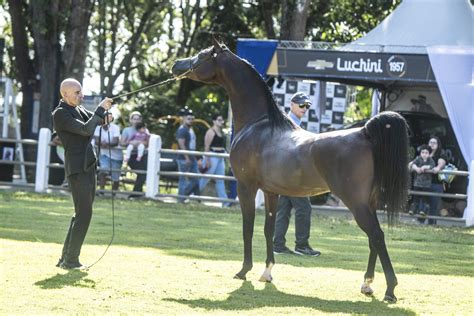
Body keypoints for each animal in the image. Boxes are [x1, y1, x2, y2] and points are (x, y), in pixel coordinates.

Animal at [172, 38, 410, 302]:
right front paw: (267, 273)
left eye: (202, 55)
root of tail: (364, 133)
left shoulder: (246, 188)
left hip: (356, 203)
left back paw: (390, 290)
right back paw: (367, 284)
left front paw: (244, 271)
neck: (259, 125)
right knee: (372, 239)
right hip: (369, 202)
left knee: (376, 236)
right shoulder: (270, 192)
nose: (176, 64)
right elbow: (268, 229)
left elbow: (248, 228)